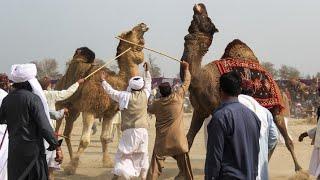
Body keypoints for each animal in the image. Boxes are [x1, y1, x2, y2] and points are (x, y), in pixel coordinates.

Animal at [55, 22, 149, 174]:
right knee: (57, 131)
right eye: (130, 32)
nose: (143, 24)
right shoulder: (89, 110)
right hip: (60, 105)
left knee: (67, 133)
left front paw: (107, 162)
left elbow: (104, 137)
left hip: (74, 111)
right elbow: (85, 141)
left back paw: (70, 160)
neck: (117, 83)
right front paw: (71, 167)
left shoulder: (109, 114)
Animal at [180, 3, 302, 171]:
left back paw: (299, 169)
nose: (201, 5)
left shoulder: (217, 108)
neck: (201, 78)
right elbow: (188, 140)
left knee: (286, 139)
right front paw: (180, 173)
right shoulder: (200, 111)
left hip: (277, 107)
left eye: (207, 19)